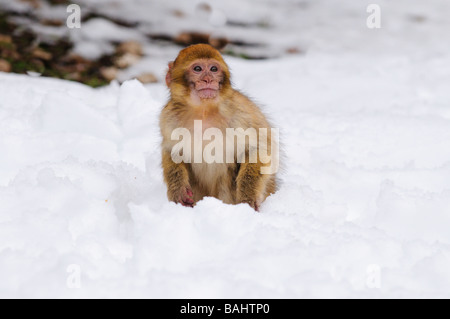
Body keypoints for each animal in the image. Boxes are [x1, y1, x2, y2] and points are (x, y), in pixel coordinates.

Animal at [160, 43, 276, 212]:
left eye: (214, 69)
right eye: (198, 69)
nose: (208, 79)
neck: (203, 111)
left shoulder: (241, 112)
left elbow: (257, 149)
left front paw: (247, 197)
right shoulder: (168, 118)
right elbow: (172, 151)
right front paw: (178, 190)